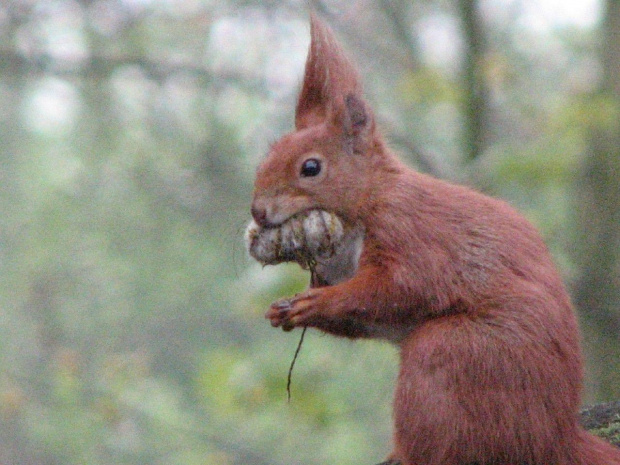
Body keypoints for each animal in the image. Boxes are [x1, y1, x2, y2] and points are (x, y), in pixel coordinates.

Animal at [248, 14, 620, 464]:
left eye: (311, 168)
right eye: (267, 156)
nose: (258, 212)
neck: (367, 204)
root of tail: (554, 437)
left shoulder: (411, 236)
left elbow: (396, 289)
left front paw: (317, 302)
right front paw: (282, 309)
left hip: (454, 357)